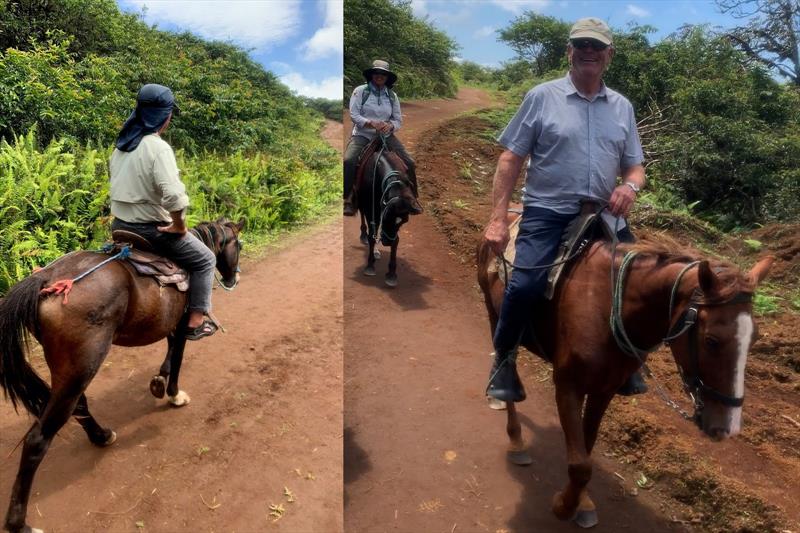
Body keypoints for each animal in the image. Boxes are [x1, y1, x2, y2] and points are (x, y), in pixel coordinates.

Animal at [0, 217, 244, 532]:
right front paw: (174, 394)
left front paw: (159, 381)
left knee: (79, 404)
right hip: (81, 367)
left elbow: (169, 354)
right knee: (37, 439)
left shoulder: (170, 325)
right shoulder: (182, 325)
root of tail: (47, 280)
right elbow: (177, 357)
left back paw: (101, 435)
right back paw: (19, 523)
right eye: (238, 245)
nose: (233, 279)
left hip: (72, 370)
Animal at [358, 142, 418, 286]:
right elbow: (371, 236)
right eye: (386, 218)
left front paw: (391, 273)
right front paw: (370, 266)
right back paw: (364, 235)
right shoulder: (371, 210)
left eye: (403, 221)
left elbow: (396, 240)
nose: (386, 242)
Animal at [478, 212, 772, 528]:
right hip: (494, 310)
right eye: (712, 340)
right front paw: (564, 506)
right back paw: (513, 430)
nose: (728, 428)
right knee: (504, 354)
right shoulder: (568, 385)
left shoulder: (605, 389)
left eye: (754, 339)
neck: (606, 308)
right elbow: (580, 464)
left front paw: (582, 501)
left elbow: (587, 446)